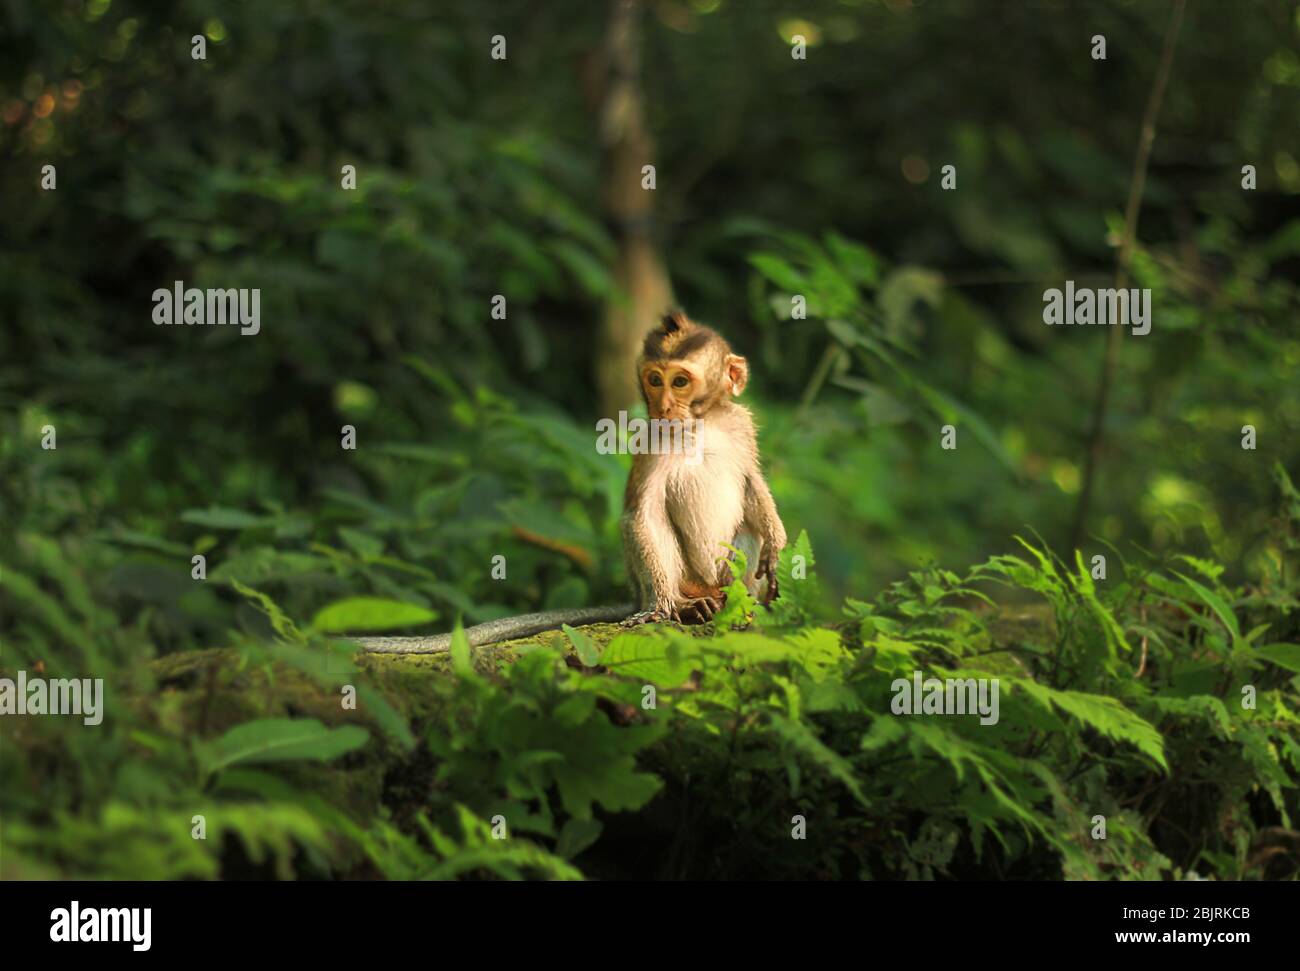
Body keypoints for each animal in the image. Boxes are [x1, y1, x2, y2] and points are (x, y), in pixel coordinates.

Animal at [621, 315, 785, 626]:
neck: (699, 425)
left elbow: (750, 480)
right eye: (655, 380)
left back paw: (740, 604)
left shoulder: (740, 424)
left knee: (748, 527)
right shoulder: (650, 443)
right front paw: (659, 606)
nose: (663, 406)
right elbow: (642, 513)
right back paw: (685, 605)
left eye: (680, 381)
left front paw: (775, 543)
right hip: (688, 578)